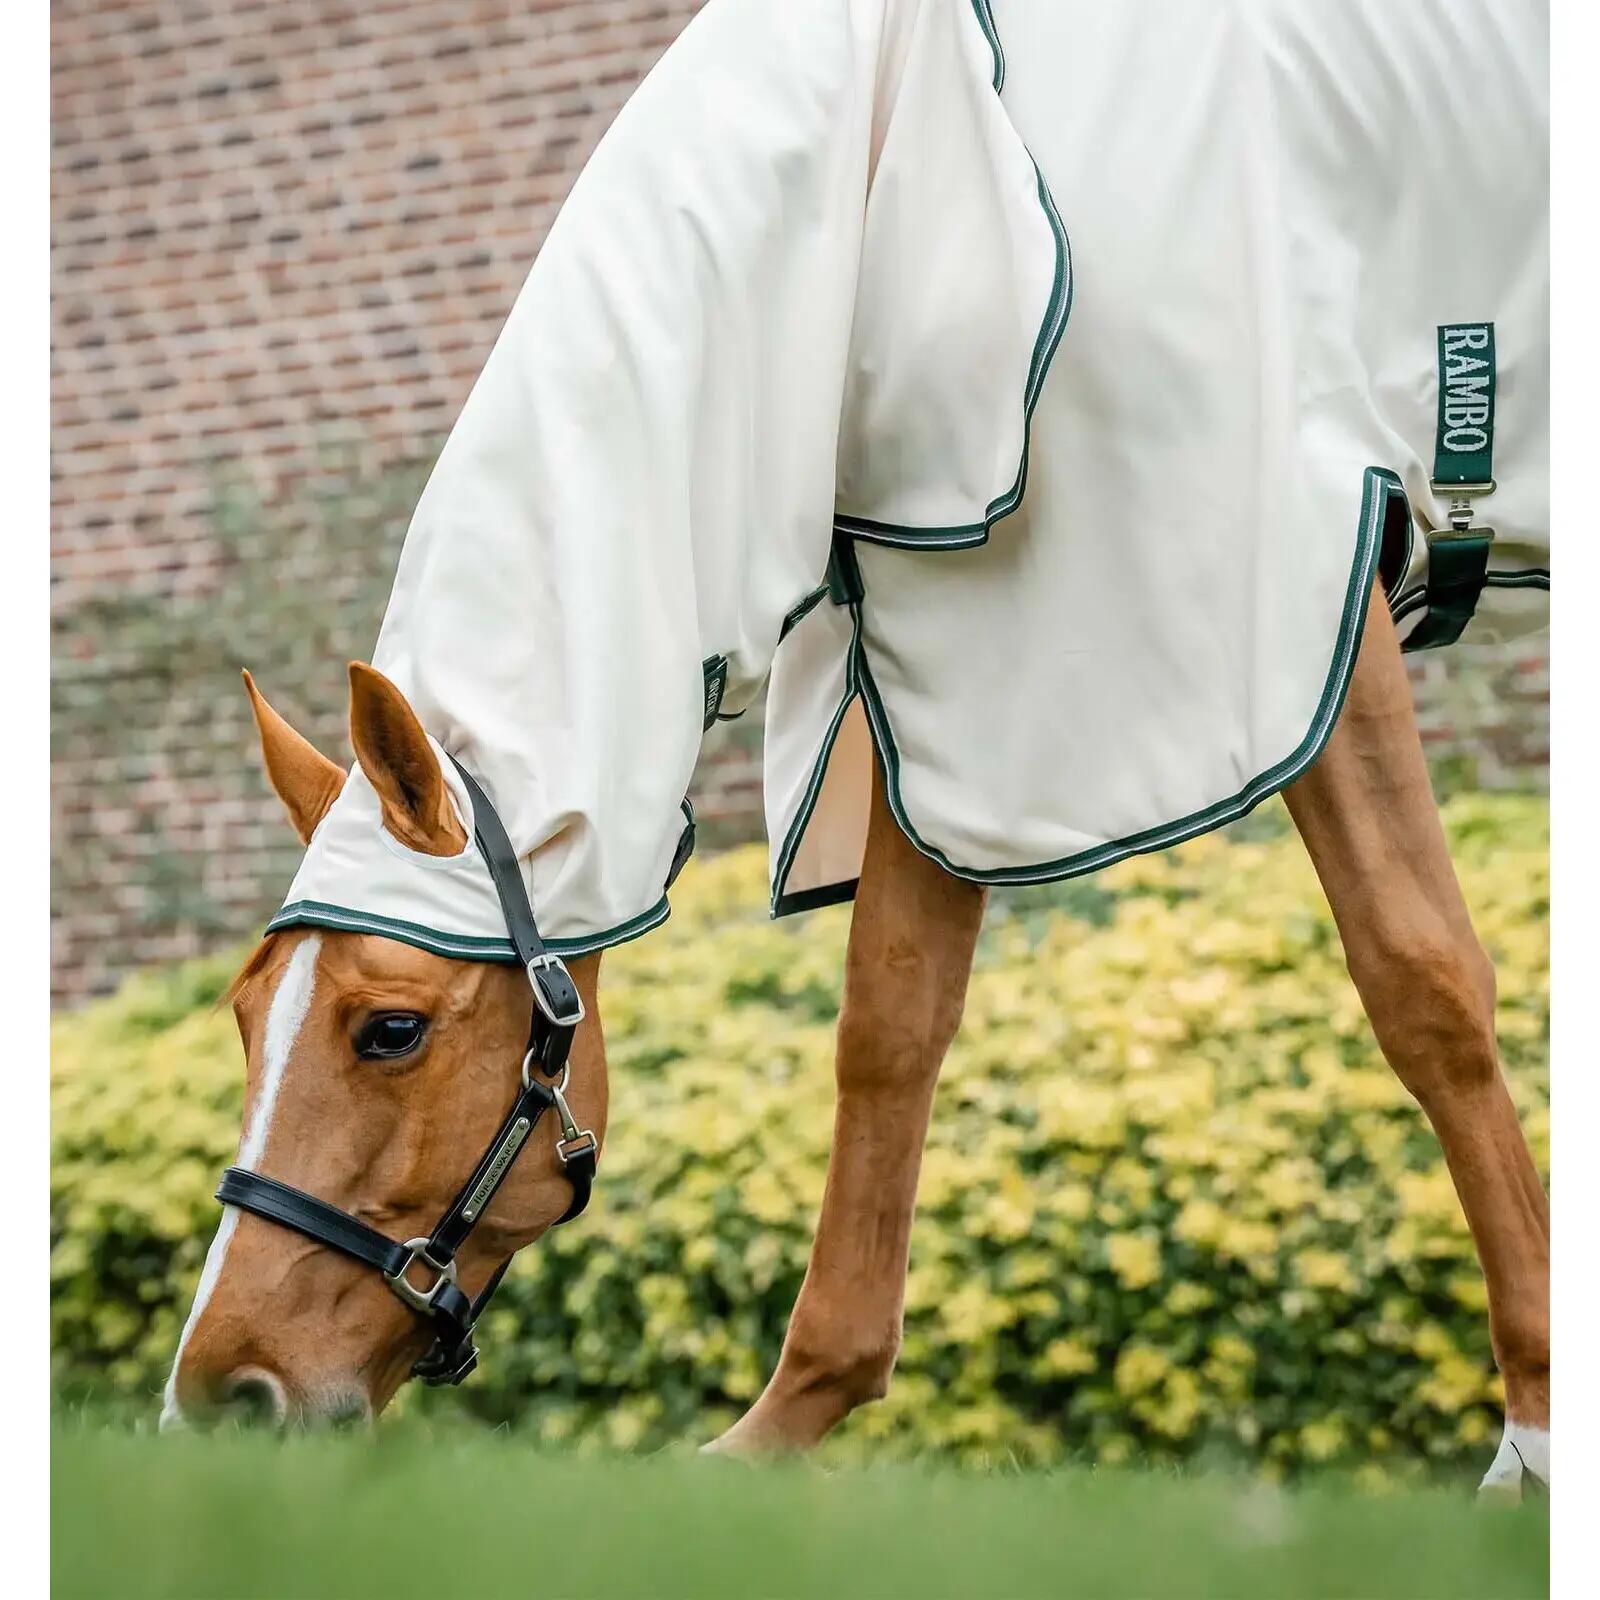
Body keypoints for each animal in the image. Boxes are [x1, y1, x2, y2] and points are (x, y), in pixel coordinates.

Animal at [160, 0, 1549, 1496]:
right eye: (243, 1013)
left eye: (391, 1029)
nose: (219, 1396)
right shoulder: (947, 670)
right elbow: (889, 1030)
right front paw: (781, 1425)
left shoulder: (1306, 601)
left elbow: (1421, 982)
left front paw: (1535, 1431)